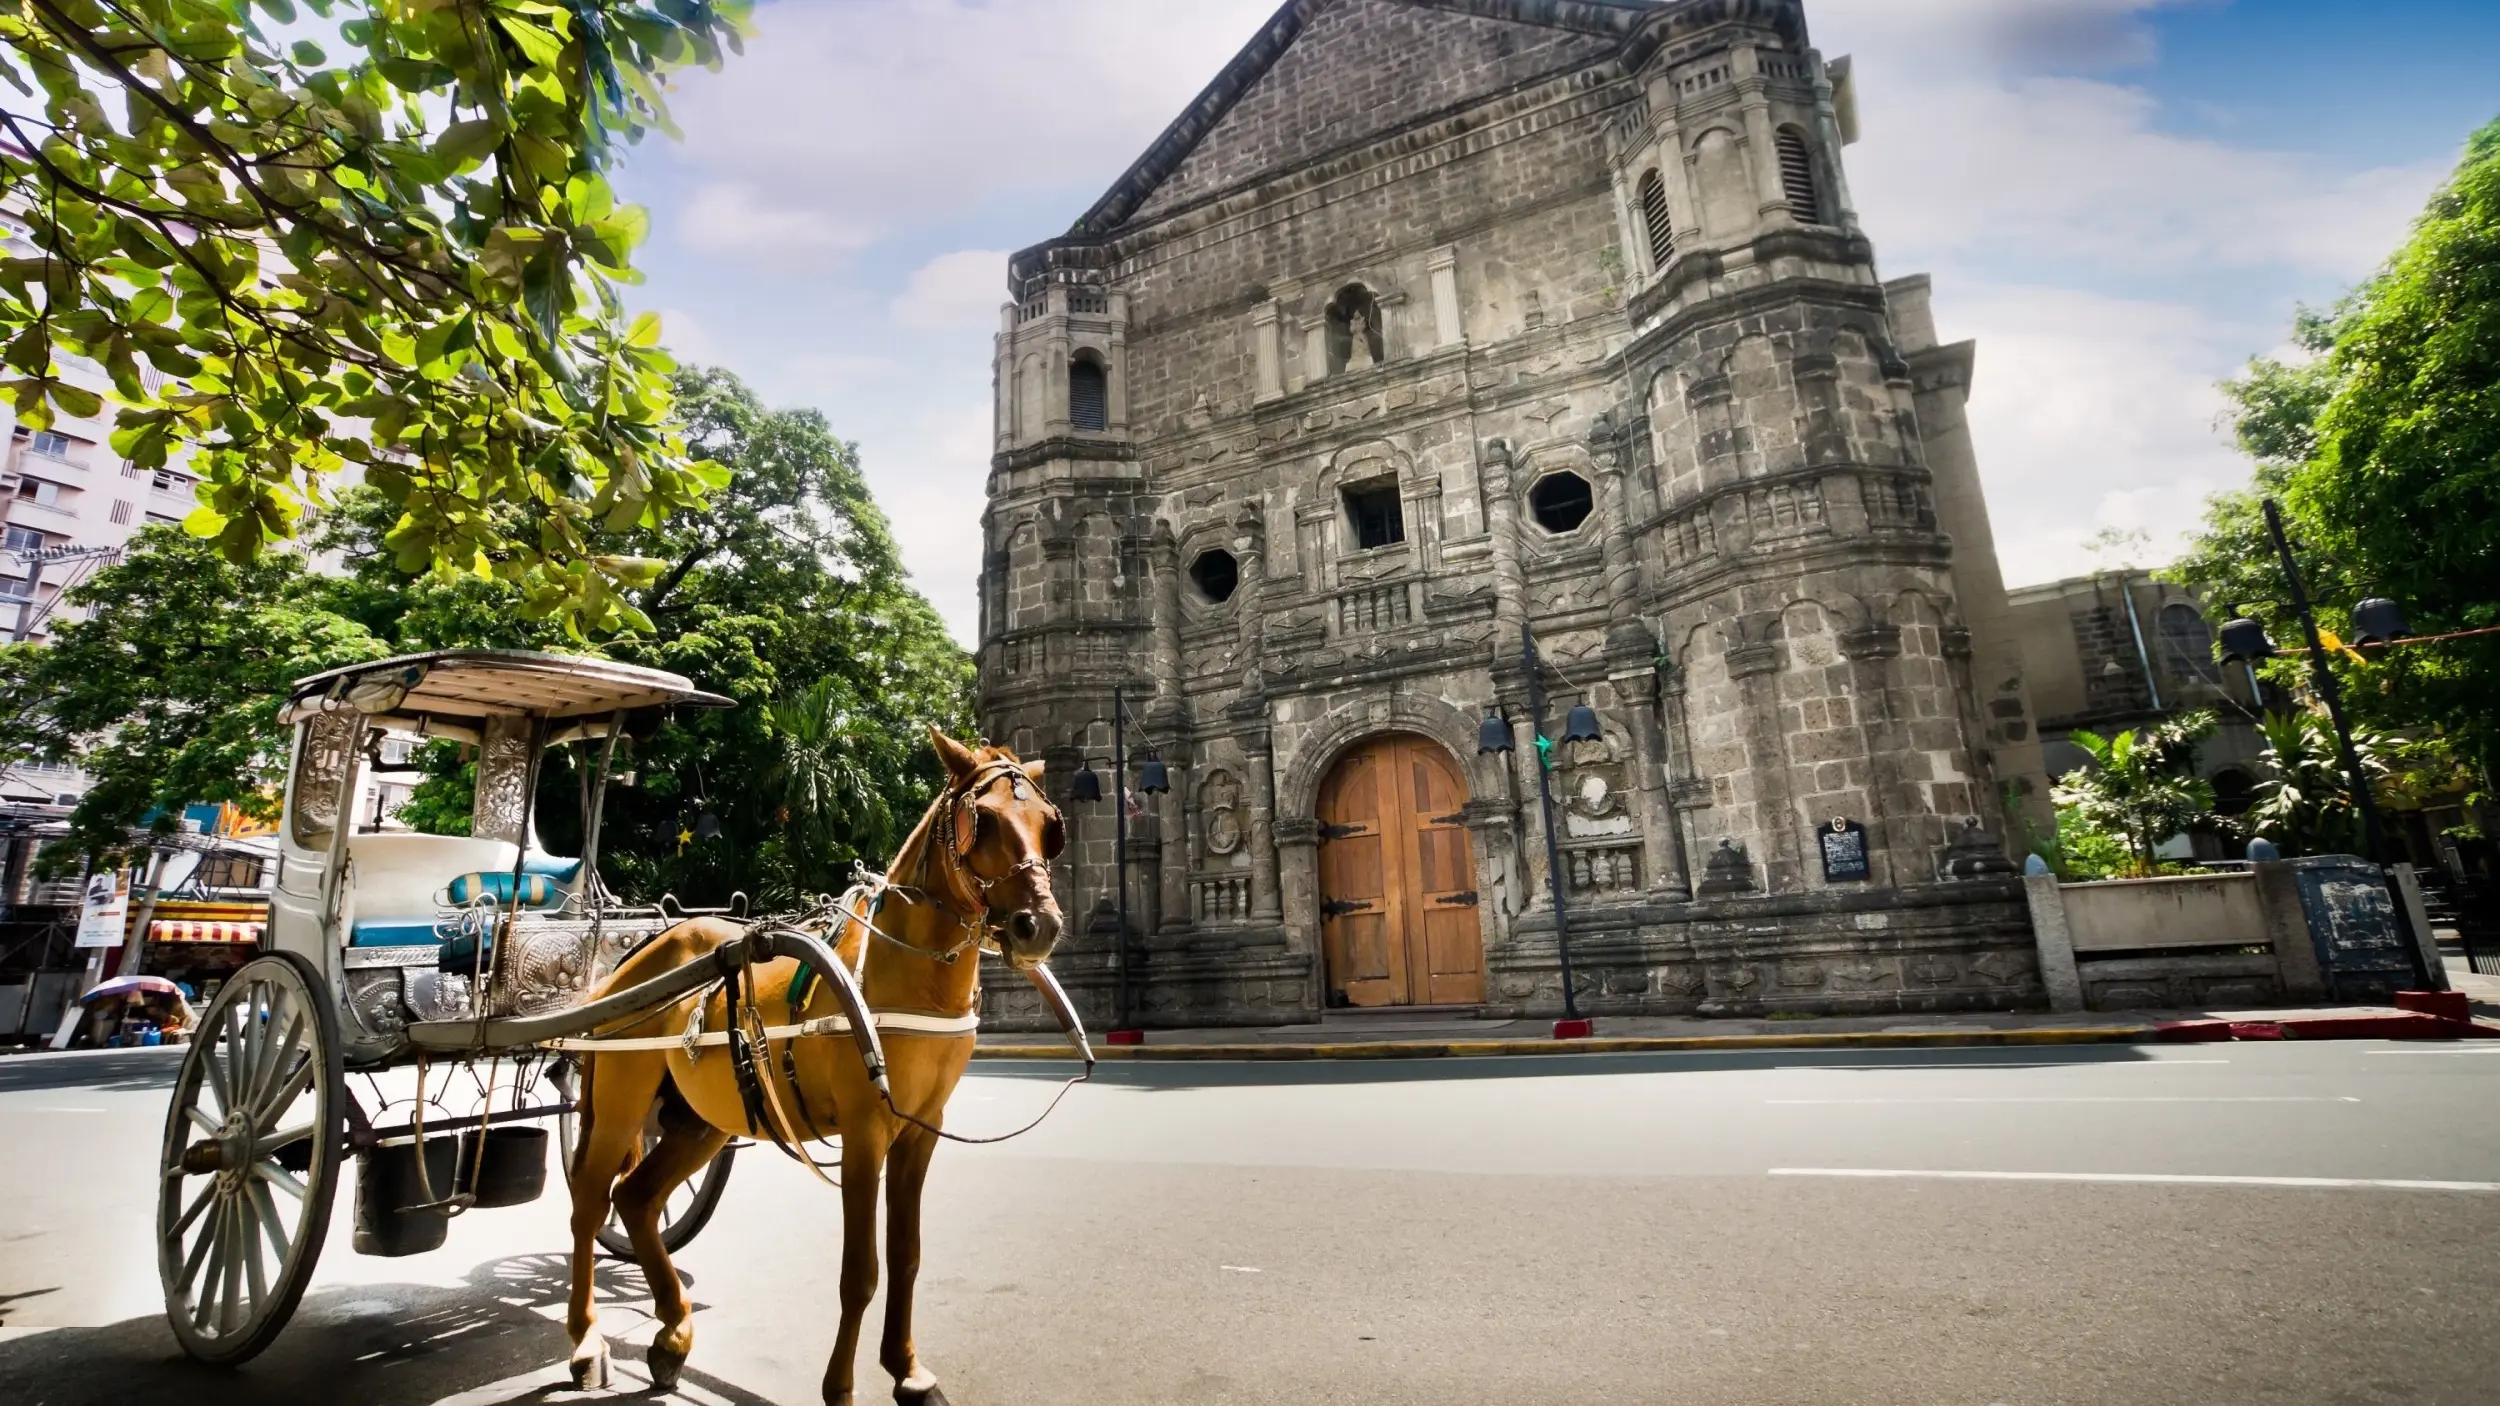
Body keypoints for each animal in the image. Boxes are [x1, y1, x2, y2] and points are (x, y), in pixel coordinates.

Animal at [562, 725, 1060, 1390]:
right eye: (984, 820)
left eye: (1048, 825)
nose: (1040, 927)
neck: (907, 976)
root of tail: (632, 960)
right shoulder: (864, 1128)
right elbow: (861, 1271)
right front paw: (841, 1386)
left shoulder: (922, 1128)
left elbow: (906, 1254)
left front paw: (906, 1369)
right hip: (620, 1102)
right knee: (590, 1206)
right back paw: (587, 1338)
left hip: (702, 1120)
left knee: (637, 1199)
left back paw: (672, 1332)